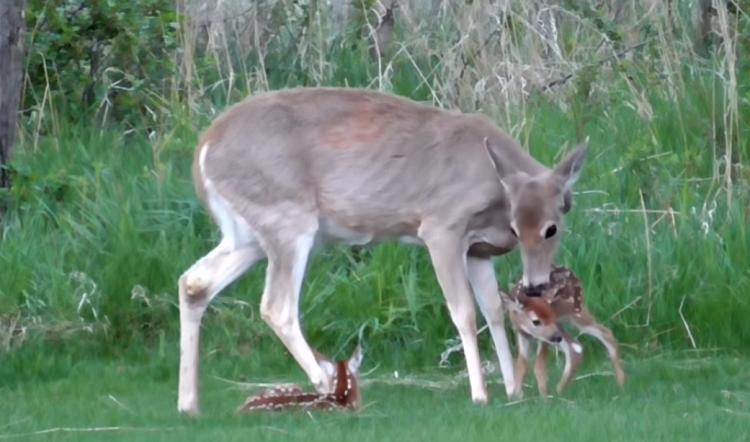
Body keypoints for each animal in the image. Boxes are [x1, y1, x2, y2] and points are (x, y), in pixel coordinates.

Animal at [176, 87, 588, 414]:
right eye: (522, 229)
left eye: (552, 227)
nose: (535, 285)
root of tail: (203, 151)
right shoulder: (441, 227)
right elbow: (464, 312)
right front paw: (480, 394)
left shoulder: (478, 250)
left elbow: (493, 311)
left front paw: (513, 389)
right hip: (287, 219)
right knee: (276, 306)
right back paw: (326, 384)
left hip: (246, 235)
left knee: (194, 282)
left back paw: (188, 403)